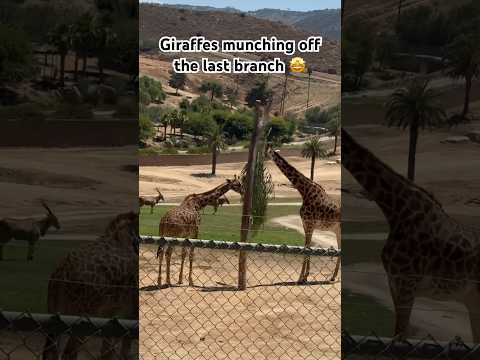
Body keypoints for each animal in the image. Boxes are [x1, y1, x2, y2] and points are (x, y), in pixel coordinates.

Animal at [43, 212, 139, 358]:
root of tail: (61, 273)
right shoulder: (129, 311)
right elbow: (122, 350)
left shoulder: (111, 312)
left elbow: (108, 351)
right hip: (82, 316)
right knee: (69, 352)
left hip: (55, 310)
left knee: (51, 350)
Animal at [266, 148, 342, 282]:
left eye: (266, 150)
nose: (264, 156)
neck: (304, 191)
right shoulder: (305, 224)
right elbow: (307, 246)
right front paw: (305, 276)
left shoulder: (309, 224)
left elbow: (307, 248)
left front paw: (301, 277)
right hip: (337, 230)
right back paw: (333, 277)